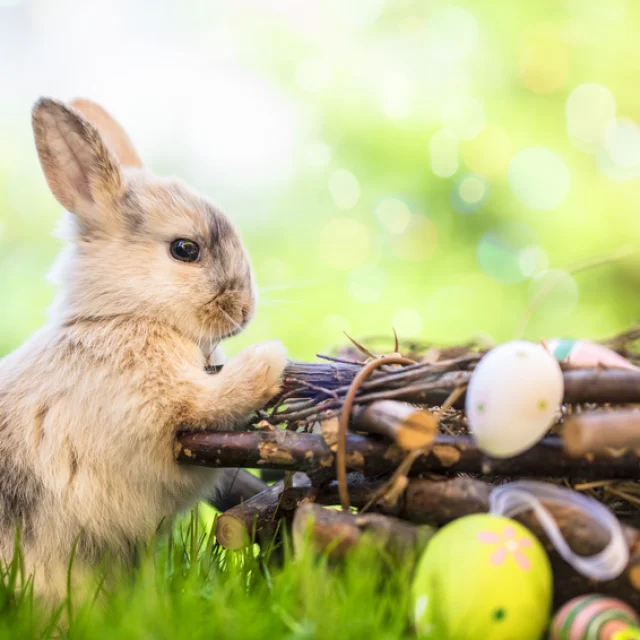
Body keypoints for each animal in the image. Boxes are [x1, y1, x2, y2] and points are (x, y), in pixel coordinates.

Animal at [0, 97, 287, 600]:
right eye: (185, 249)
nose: (244, 310)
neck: (121, 316)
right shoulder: (165, 409)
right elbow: (215, 400)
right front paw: (271, 359)